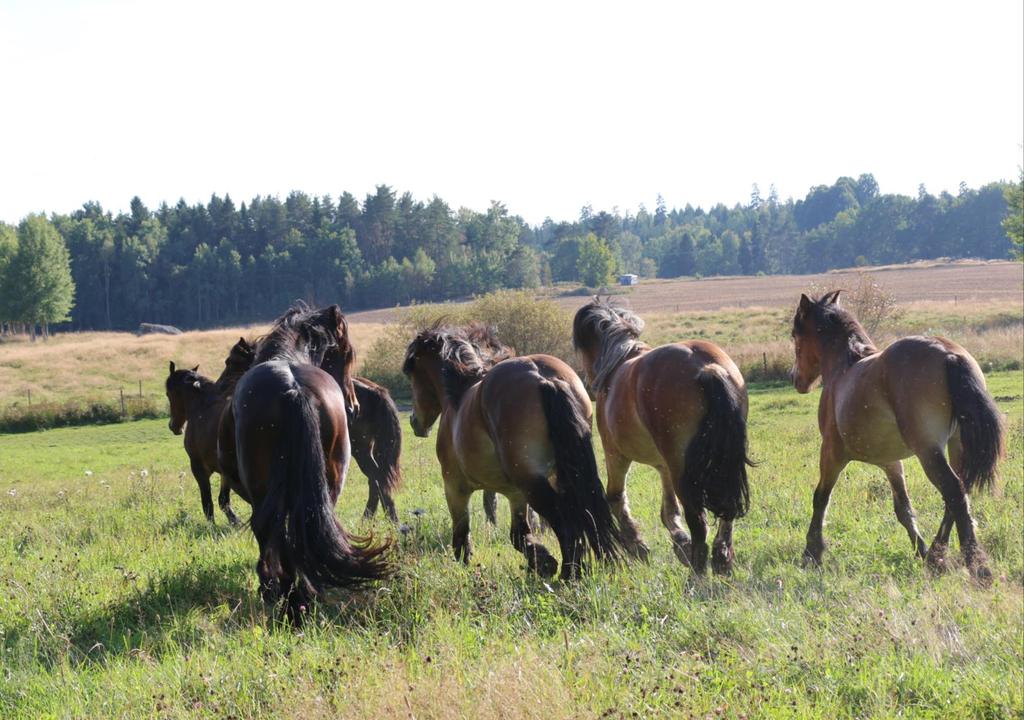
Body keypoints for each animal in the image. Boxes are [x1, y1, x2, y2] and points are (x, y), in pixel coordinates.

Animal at [165, 337, 256, 524]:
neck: (201, 407)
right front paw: (235, 522)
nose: (174, 426)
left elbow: (208, 503)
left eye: (168, 394)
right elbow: (223, 500)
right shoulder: (225, 472)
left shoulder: (198, 467)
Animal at [226, 303, 389, 618]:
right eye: (347, 354)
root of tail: (293, 388)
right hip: (328, 482)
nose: (353, 406)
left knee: (274, 529)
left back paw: (289, 595)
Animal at [403, 325, 618, 581]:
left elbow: (461, 536)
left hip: (533, 483)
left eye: (412, 373)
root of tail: (543, 377)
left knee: (567, 523)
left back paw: (569, 574)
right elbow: (519, 536)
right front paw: (542, 562)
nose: (415, 422)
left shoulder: (455, 487)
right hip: (560, 477)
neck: (458, 396)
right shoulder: (516, 494)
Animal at [569, 297, 753, 573]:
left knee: (698, 520)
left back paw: (697, 574)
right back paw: (721, 559)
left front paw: (637, 544)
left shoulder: (616, 454)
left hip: (681, 470)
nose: (589, 383)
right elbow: (668, 510)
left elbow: (615, 497)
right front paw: (680, 543)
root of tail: (706, 367)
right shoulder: (664, 465)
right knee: (726, 510)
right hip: (715, 462)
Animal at [786, 290, 1003, 581]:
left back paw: (977, 566)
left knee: (954, 492)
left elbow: (821, 498)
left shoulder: (831, 453)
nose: (795, 379)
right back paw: (936, 556)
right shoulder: (890, 462)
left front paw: (812, 552)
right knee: (960, 493)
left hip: (928, 451)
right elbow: (903, 509)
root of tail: (948, 354)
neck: (845, 368)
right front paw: (921, 550)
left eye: (795, 335)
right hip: (958, 446)